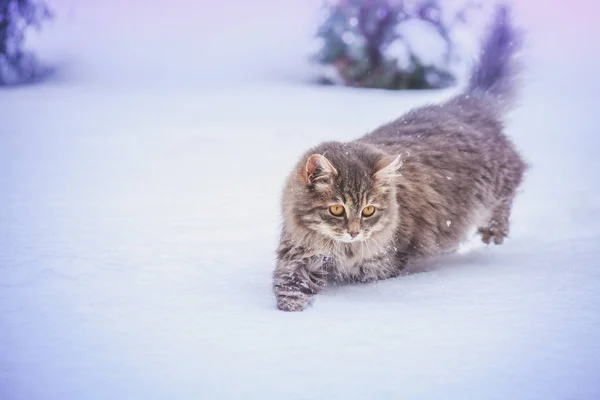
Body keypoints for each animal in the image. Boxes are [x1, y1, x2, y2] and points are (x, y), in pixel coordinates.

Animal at [274, 7, 528, 312]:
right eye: (336, 210)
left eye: (369, 211)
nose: (354, 232)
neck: (343, 251)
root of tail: (463, 106)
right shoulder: (298, 255)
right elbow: (289, 288)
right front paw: (289, 315)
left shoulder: (384, 265)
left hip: (496, 179)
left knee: (514, 181)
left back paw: (493, 232)